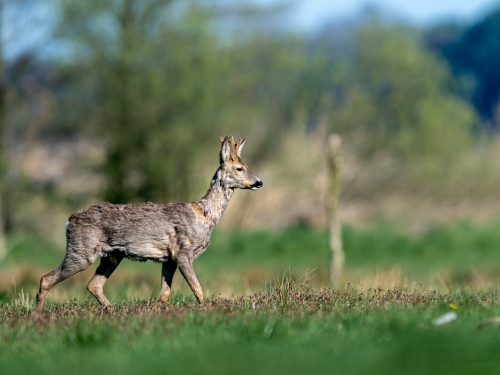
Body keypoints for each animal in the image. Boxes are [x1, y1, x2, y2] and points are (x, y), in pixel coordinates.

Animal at [32, 137, 262, 316]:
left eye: (246, 167)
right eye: (240, 168)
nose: (259, 182)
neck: (205, 216)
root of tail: (69, 220)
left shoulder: (168, 258)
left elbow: (165, 293)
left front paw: (152, 312)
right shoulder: (182, 251)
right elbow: (197, 288)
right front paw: (207, 311)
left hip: (112, 255)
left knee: (93, 285)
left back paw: (113, 311)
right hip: (81, 250)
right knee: (46, 278)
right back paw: (36, 316)